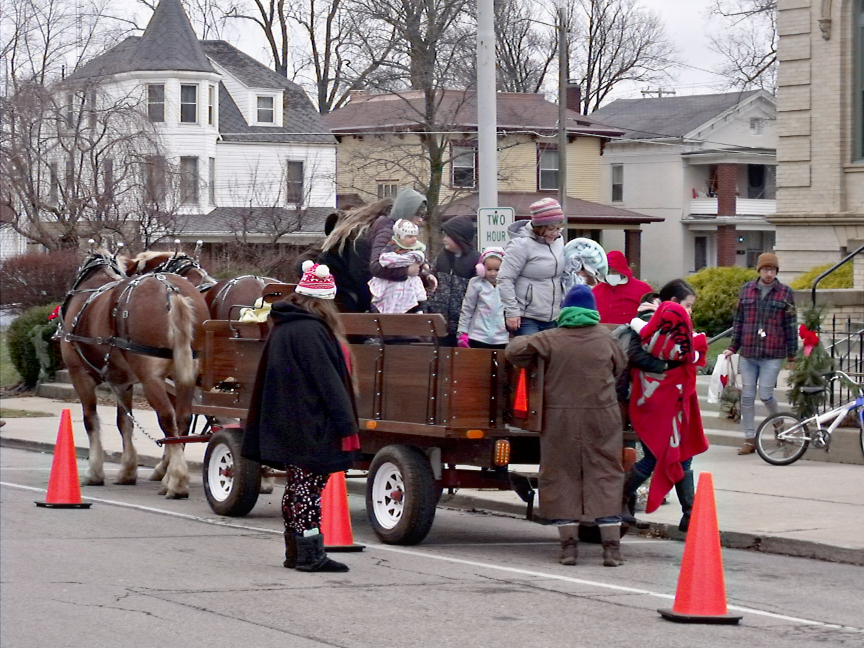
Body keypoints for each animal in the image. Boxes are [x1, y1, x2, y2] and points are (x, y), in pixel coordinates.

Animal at [59, 251, 211, 498]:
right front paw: (127, 472)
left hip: (151, 379)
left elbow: (91, 420)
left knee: (167, 419)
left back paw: (176, 481)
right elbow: (124, 423)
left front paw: (95, 472)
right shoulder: (122, 382)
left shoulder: (79, 374)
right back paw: (171, 475)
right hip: (185, 374)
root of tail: (172, 290)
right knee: (182, 419)